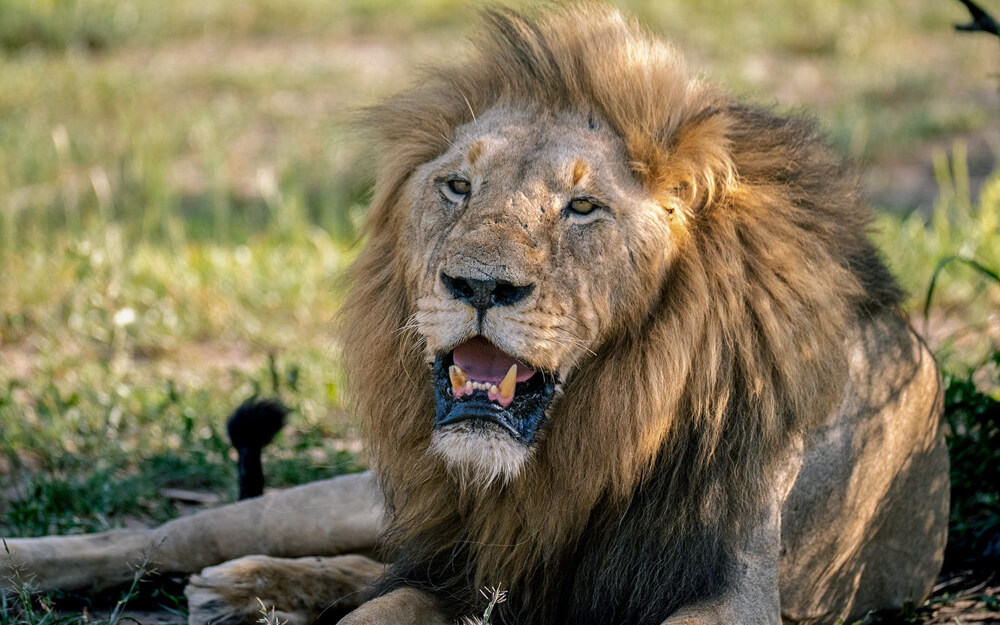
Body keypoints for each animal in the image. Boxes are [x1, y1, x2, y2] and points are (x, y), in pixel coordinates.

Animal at [2, 5, 949, 625]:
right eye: (458, 185)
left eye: (582, 208)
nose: (479, 286)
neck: (595, 435)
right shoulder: (455, 577)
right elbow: (378, 605)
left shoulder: (729, 591)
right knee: (166, 535)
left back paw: (254, 590)